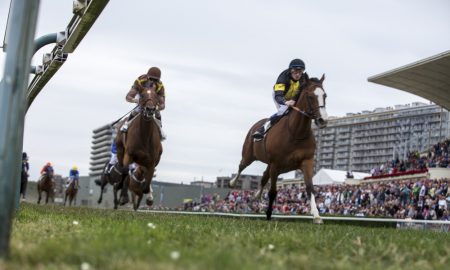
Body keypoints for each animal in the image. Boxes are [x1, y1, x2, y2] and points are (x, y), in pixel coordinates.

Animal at [230, 75, 328, 223]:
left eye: (325, 95)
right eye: (310, 96)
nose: (323, 120)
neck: (295, 133)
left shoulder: (307, 161)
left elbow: (310, 188)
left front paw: (316, 216)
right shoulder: (276, 163)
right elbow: (272, 191)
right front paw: (269, 214)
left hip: (276, 166)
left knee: (264, 176)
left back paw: (257, 195)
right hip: (249, 155)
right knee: (241, 166)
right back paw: (232, 182)